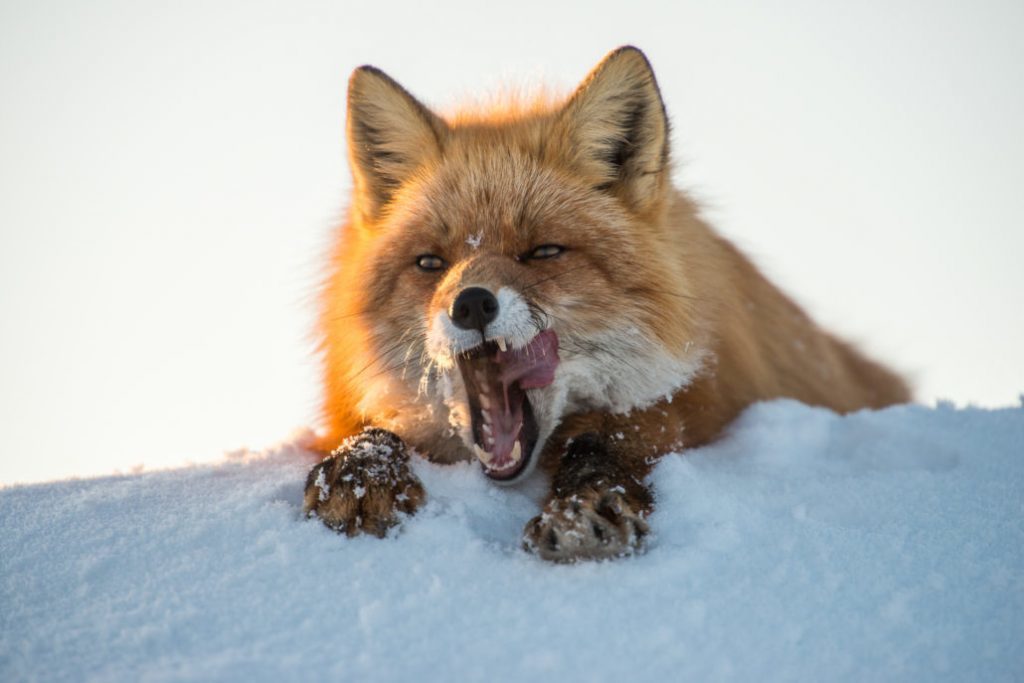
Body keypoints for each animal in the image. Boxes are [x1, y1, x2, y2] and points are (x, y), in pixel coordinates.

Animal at [299, 46, 909, 561]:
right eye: (430, 263)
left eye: (543, 251)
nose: (470, 305)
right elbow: (371, 429)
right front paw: (360, 475)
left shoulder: (695, 399)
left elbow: (610, 438)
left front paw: (582, 509)